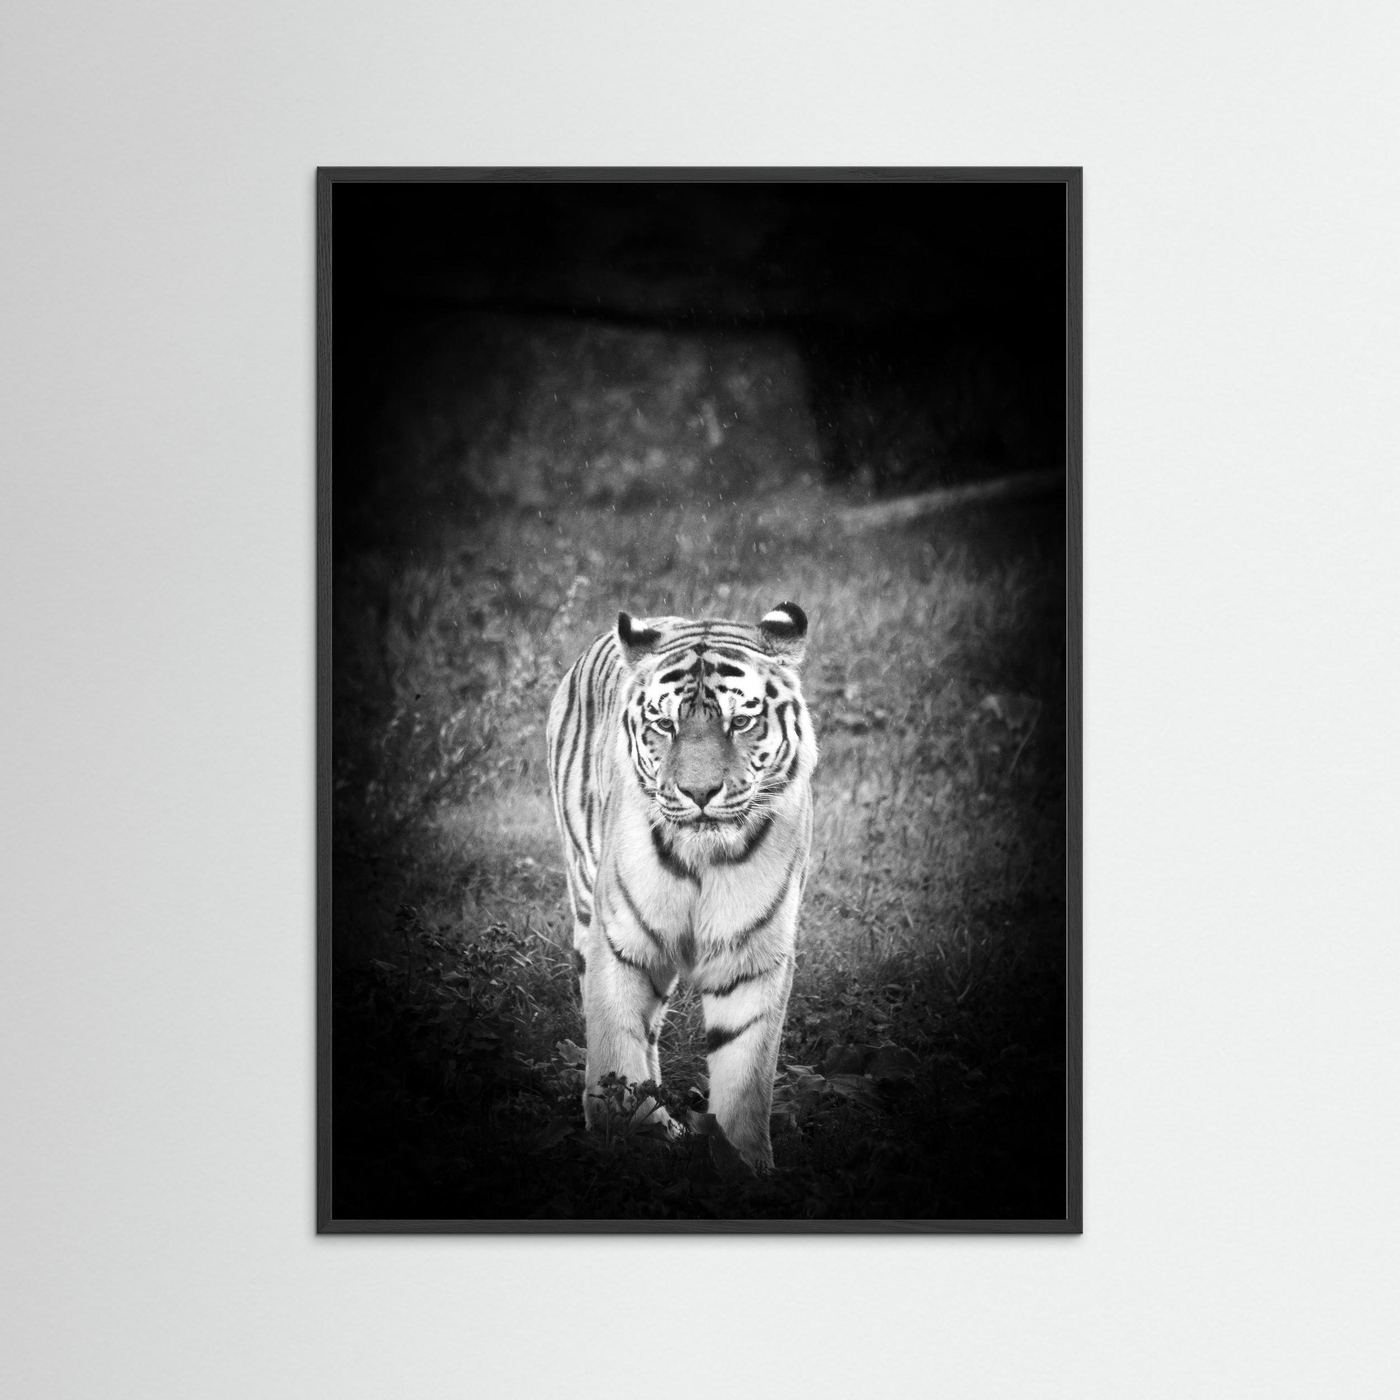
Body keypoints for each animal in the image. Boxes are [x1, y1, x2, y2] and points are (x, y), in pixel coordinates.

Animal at [545, 602, 817, 1172]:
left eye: (741, 721)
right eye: (665, 725)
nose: (699, 792)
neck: (702, 859)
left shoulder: (752, 957)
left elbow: (746, 1074)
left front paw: (744, 1166)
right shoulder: (620, 943)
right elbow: (616, 1048)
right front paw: (631, 1141)